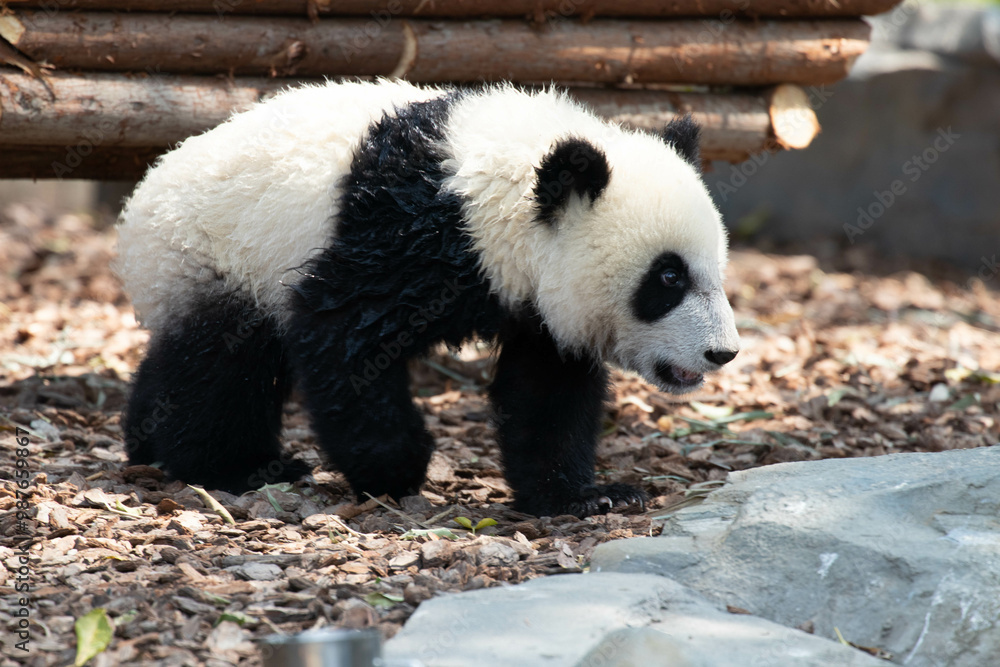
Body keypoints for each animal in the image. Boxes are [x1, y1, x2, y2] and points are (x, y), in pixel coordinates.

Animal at [114, 80, 740, 518]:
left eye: (715, 269)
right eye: (668, 279)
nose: (722, 353)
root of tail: (141, 195)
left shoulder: (535, 301)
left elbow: (547, 390)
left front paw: (585, 495)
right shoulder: (402, 236)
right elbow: (341, 334)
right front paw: (396, 467)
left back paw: (146, 439)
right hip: (217, 253)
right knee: (223, 363)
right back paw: (235, 465)